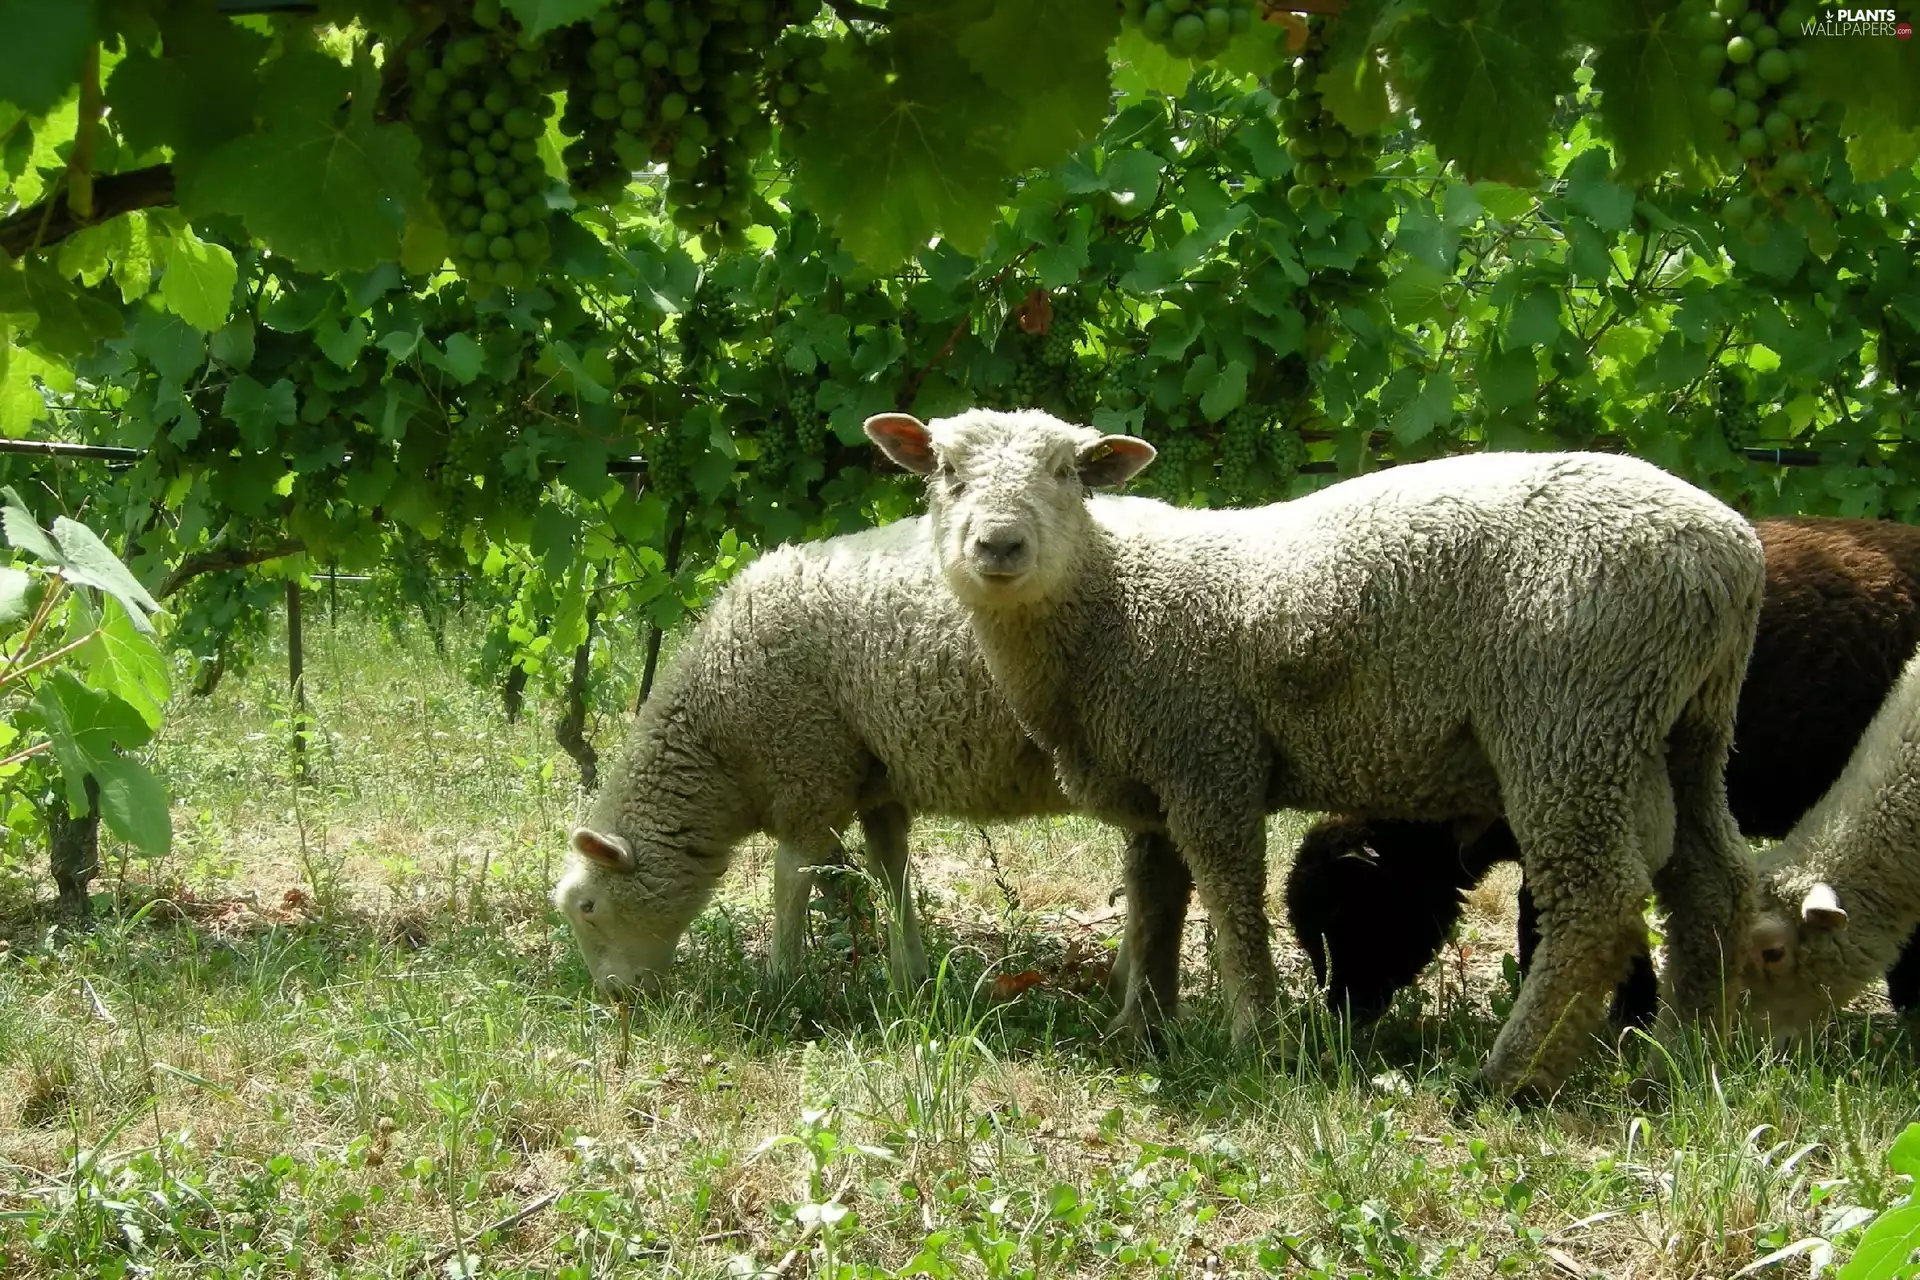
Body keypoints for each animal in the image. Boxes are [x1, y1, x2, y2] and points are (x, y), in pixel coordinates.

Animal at [554, 501, 1193, 1027]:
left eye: (588, 907)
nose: (614, 1000)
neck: (718, 744)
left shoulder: (807, 764)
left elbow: (792, 878)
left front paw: (782, 982)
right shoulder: (878, 780)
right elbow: (892, 873)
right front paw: (910, 979)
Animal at [864, 407, 1765, 1097]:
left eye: (1066, 472)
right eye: (945, 469)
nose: (999, 546)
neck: (1112, 605)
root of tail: (1729, 552)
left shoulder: (1210, 757)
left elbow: (1230, 903)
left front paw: (1254, 1042)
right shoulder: (1156, 778)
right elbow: (1156, 905)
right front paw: (1139, 1030)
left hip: (1570, 713)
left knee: (1596, 899)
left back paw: (1509, 1080)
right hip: (1683, 724)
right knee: (1711, 883)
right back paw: (1678, 1060)